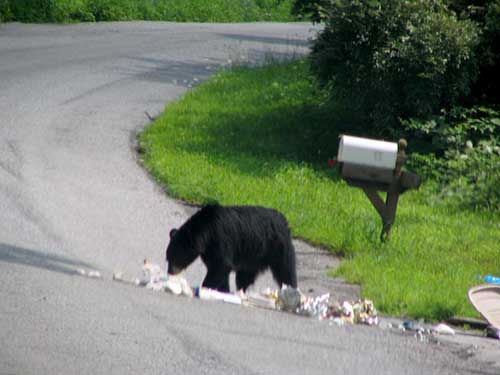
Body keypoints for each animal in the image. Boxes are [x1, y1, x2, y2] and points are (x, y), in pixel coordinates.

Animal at [166, 206, 296, 294]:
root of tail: (285, 221)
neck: (206, 231)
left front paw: (204, 288)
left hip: (278, 248)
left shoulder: (221, 240)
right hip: (251, 260)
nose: (170, 272)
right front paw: (224, 290)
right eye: (168, 258)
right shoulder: (209, 251)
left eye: (174, 257)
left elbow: (221, 266)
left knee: (286, 271)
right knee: (244, 278)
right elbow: (219, 269)